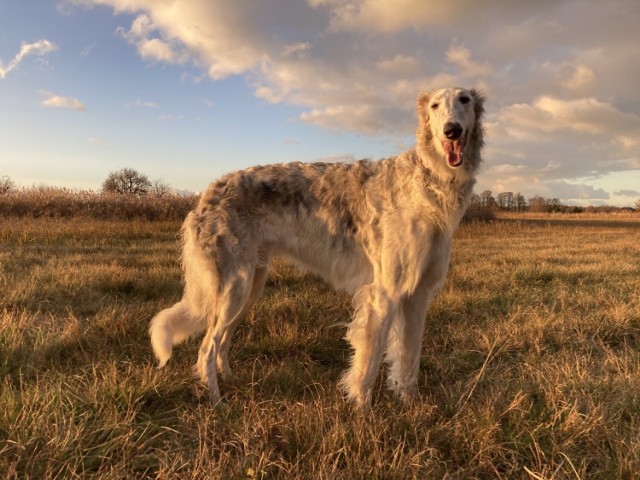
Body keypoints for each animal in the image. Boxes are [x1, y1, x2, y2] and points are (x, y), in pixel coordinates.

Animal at [150, 88, 488, 406]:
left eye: (465, 100)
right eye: (435, 105)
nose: (452, 130)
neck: (429, 182)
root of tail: (206, 196)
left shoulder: (417, 295)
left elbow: (409, 359)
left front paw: (410, 405)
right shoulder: (384, 293)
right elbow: (368, 363)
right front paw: (362, 411)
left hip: (249, 286)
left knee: (220, 344)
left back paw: (231, 383)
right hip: (234, 287)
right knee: (206, 349)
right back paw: (217, 402)